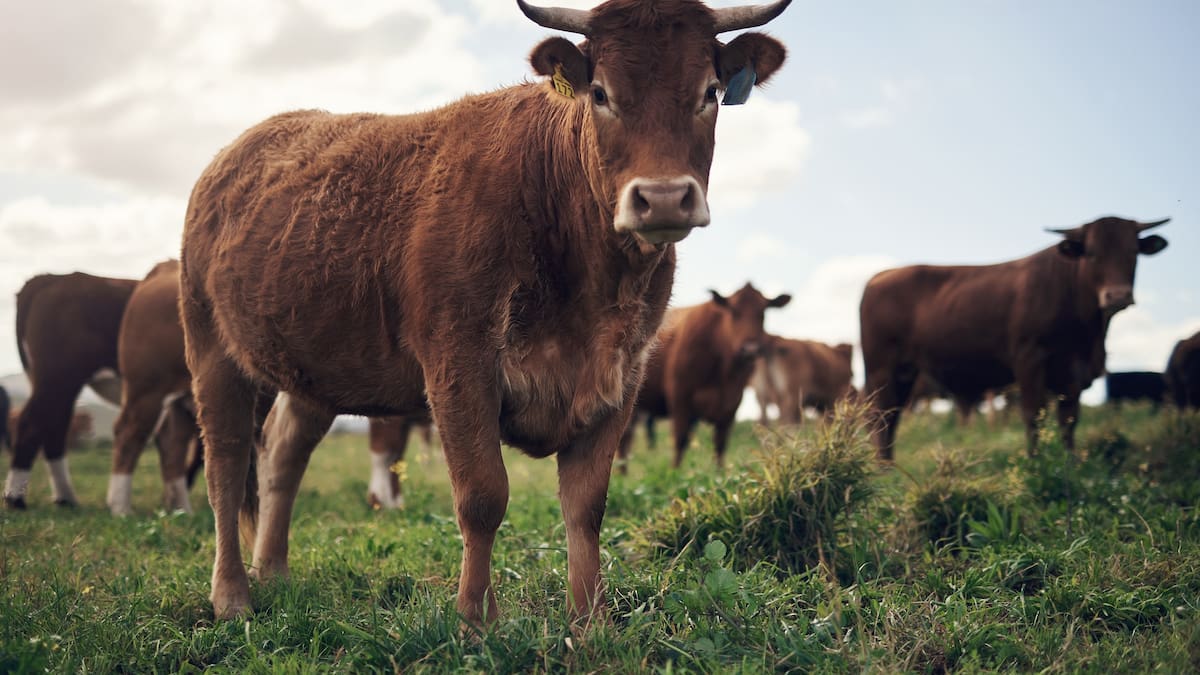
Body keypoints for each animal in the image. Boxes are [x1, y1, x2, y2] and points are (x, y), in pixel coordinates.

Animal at [619, 283, 791, 470]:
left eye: (762, 313)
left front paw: (719, 471)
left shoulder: (731, 404)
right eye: (734, 312)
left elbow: (720, 444)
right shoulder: (680, 398)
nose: (750, 349)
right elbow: (680, 440)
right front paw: (675, 471)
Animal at [861, 216, 1169, 460]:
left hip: (905, 373)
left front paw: (1070, 463)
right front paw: (1036, 463)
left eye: (1133, 252)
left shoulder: (1072, 373)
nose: (1117, 295)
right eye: (1091, 253)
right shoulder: (1030, 360)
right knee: (880, 417)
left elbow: (1068, 420)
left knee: (892, 417)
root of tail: (880, 277)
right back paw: (883, 469)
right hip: (882, 370)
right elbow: (1033, 415)